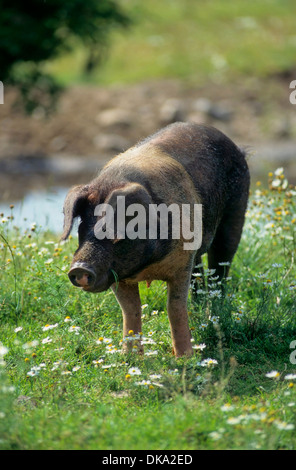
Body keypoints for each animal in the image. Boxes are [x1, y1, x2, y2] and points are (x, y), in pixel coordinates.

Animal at [61, 121, 250, 356]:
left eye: (117, 230)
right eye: (82, 228)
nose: (79, 268)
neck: (148, 268)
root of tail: (236, 147)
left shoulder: (181, 264)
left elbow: (174, 308)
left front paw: (185, 358)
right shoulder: (116, 274)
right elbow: (130, 311)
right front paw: (130, 358)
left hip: (236, 212)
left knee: (220, 268)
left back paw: (214, 311)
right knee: (200, 273)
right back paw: (199, 309)